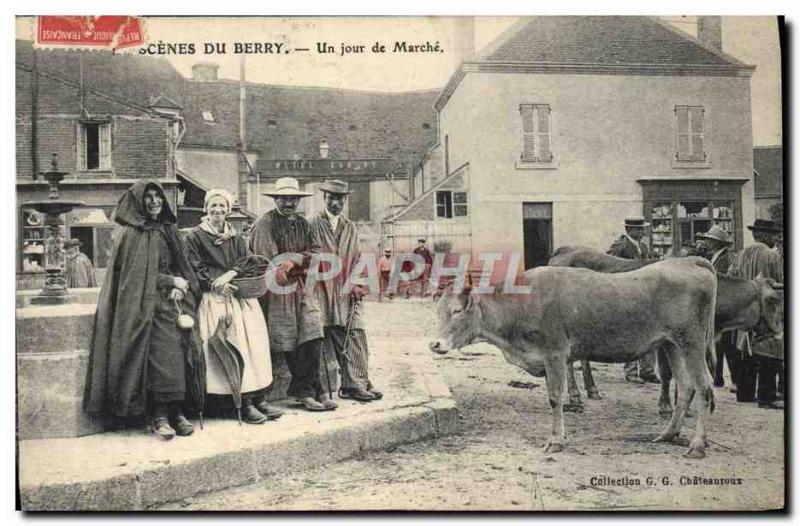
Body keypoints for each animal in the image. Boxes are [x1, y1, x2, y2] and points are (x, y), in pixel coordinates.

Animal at [432, 258, 720, 460]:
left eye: (457, 311)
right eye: (438, 312)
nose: (434, 344)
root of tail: (688, 261)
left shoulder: (555, 354)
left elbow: (554, 397)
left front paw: (556, 441)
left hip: (692, 342)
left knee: (704, 387)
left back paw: (697, 445)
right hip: (672, 345)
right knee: (686, 387)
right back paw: (668, 434)